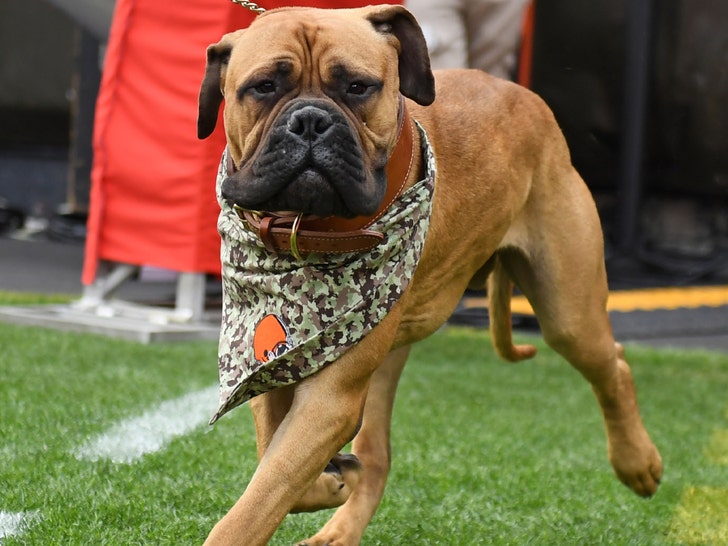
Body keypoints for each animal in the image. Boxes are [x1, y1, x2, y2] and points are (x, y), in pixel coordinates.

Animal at [196, 5, 664, 544]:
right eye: (264, 86)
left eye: (357, 87)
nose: (310, 120)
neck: (305, 232)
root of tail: (525, 96)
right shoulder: (274, 365)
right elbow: (274, 463)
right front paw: (331, 480)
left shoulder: (328, 400)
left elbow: (260, 498)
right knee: (377, 457)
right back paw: (342, 524)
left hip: (569, 313)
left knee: (614, 366)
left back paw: (638, 463)